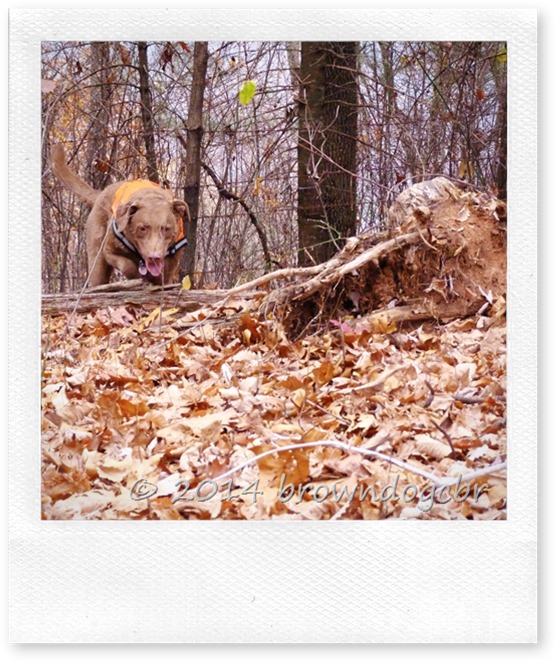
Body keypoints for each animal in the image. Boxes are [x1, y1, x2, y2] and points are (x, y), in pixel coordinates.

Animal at [50, 144, 189, 287]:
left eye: (166, 229)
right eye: (142, 228)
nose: (154, 257)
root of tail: (100, 194)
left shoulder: (171, 261)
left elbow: (164, 276)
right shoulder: (108, 250)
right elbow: (128, 266)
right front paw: (139, 276)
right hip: (97, 260)